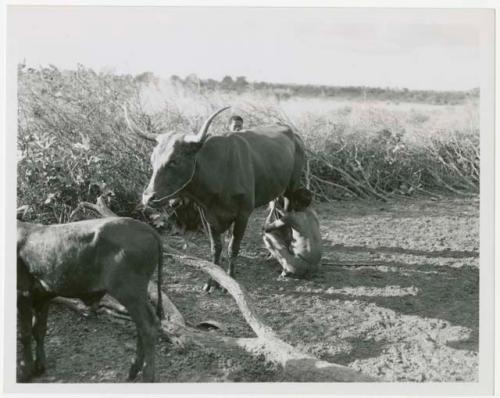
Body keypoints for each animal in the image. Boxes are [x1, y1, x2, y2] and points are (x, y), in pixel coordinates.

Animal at [16, 218, 162, 382]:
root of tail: (145, 227)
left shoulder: (22, 293)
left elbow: (24, 333)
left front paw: (24, 371)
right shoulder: (42, 296)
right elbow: (39, 330)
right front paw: (39, 366)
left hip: (130, 294)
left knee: (148, 327)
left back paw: (147, 376)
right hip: (136, 297)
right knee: (144, 326)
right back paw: (133, 370)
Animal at [124, 105, 304, 292]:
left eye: (174, 160)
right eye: (152, 159)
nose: (148, 197)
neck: (219, 171)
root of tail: (292, 133)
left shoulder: (243, 214)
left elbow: (233, 247)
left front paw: (230, 280)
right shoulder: (208, 215)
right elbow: (215, 248)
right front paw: (212, 282)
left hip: (291, 188)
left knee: (287, 213)